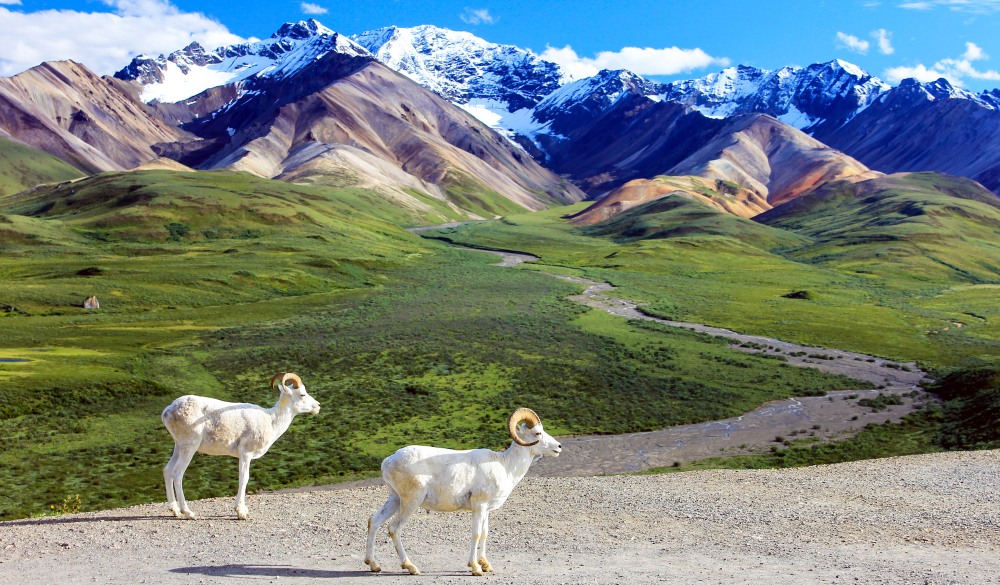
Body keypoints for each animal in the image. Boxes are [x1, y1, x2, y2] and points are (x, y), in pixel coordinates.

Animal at [160, 372, 318, 516]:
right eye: (302, 394)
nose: (318, 406)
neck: (271, 421)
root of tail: (168, 411)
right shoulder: (246, 453)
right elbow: (244, 478)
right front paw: (241, 512)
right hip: (189, 447)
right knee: (177, 474)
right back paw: (188, 513)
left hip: (178, 447)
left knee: (167, 471)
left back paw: (175, 511)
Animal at [364, 406, 564, 576]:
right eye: (537, 433)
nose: (559, 447)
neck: (506, 466)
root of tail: (388, 461)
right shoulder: (479, 506)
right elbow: (476, 534)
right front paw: (475, 568)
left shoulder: (486, 510)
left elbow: (485, 533)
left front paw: (486, 565)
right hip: (411, 502)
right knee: (394, 528)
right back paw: (411, 567)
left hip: (395, 499)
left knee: (374, 521)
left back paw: (373, 565)